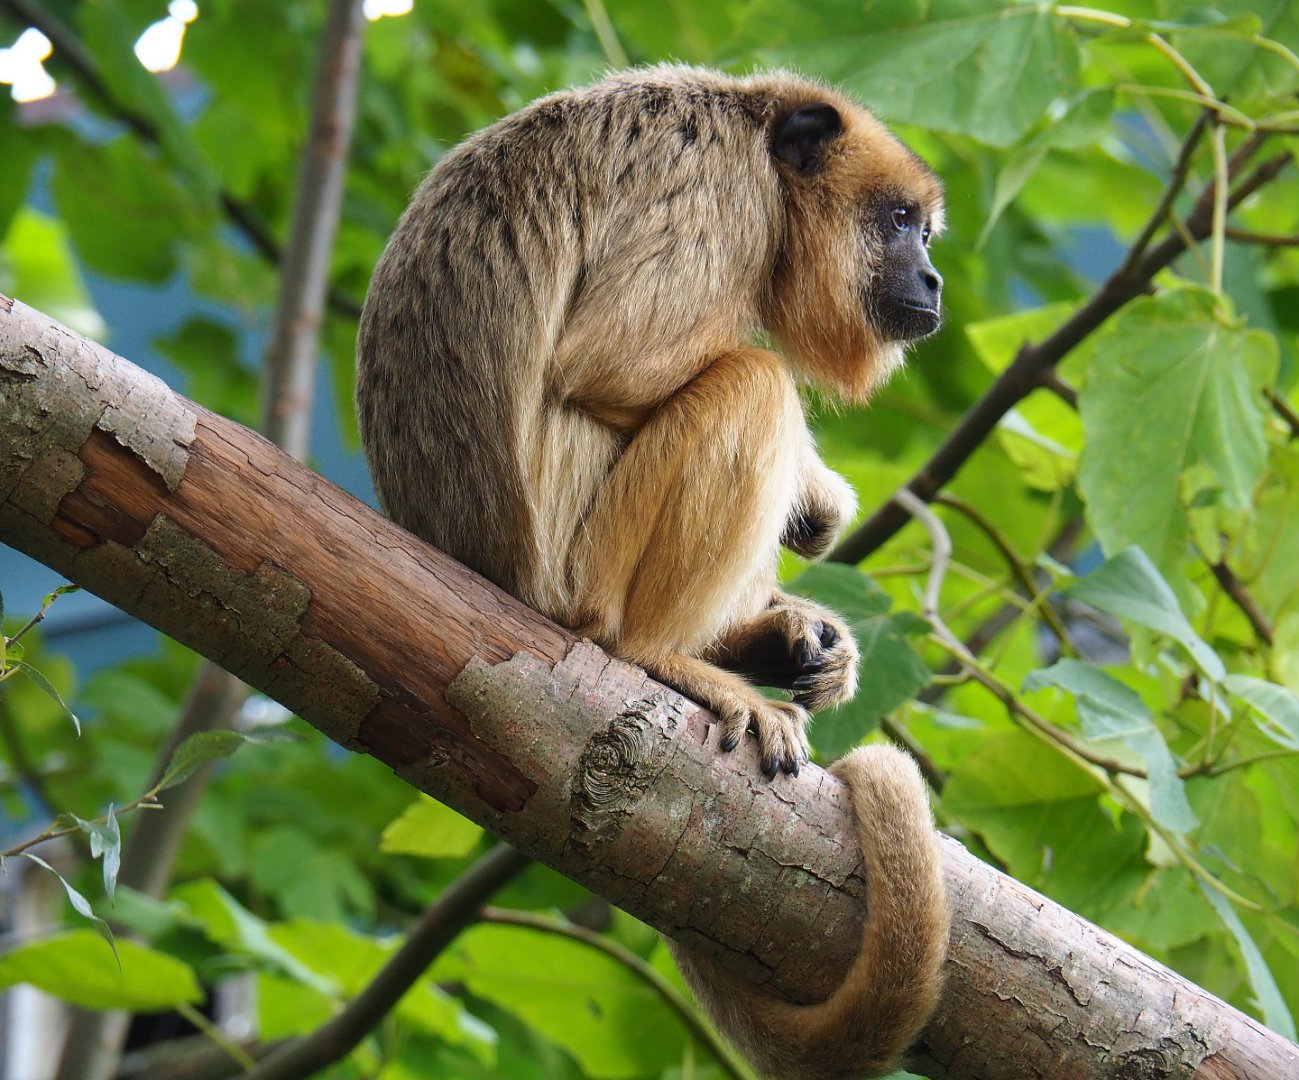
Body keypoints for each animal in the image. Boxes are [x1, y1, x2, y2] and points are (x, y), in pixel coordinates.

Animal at [357, 66, 948, 1078]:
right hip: (580, 569)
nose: (934, 274)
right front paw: (813, 488)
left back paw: (772, 641)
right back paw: (662, 655)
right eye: (900, 219)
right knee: (752, 381)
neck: (755, 133)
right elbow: (614, 367)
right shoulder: (717, 193)